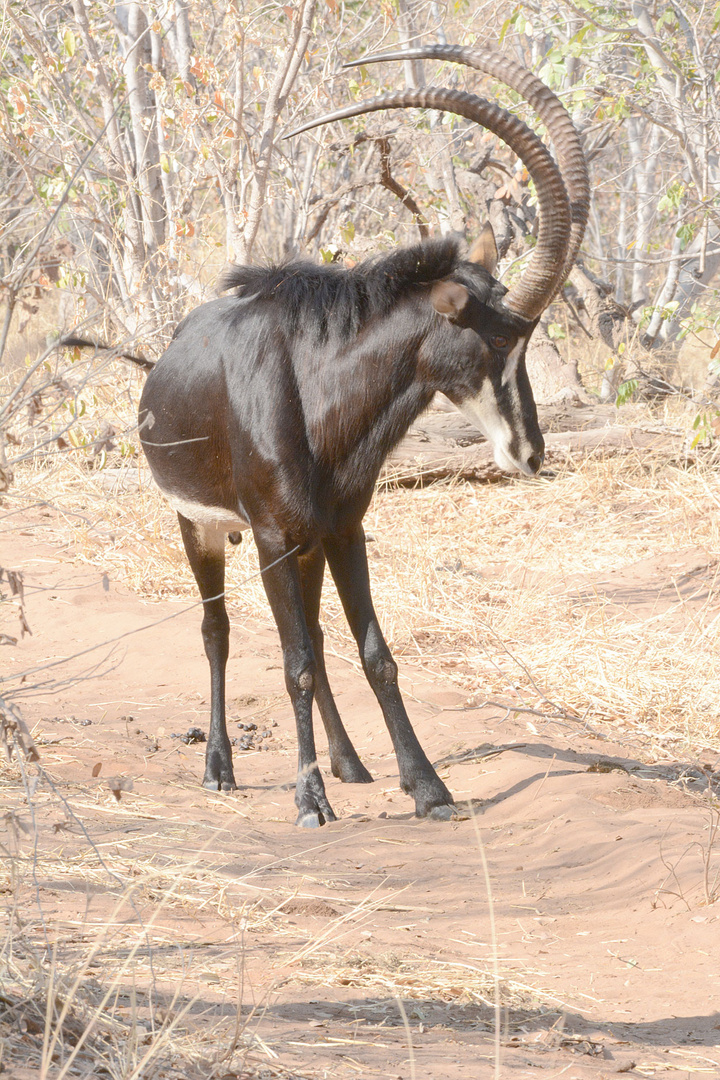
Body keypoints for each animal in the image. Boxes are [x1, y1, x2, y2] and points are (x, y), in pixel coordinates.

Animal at [136, 44, 591, 825]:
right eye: (502, 342)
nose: (530, 453)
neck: (318, 393)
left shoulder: (343, 528)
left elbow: (373, 653)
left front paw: (427, 786)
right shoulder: (269, 535)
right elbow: (291, 663)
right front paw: (308, 800)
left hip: (307, 542)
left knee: (316, 637)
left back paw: (349, 762)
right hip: (201, 527)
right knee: (218, 633)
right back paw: (221, 767)